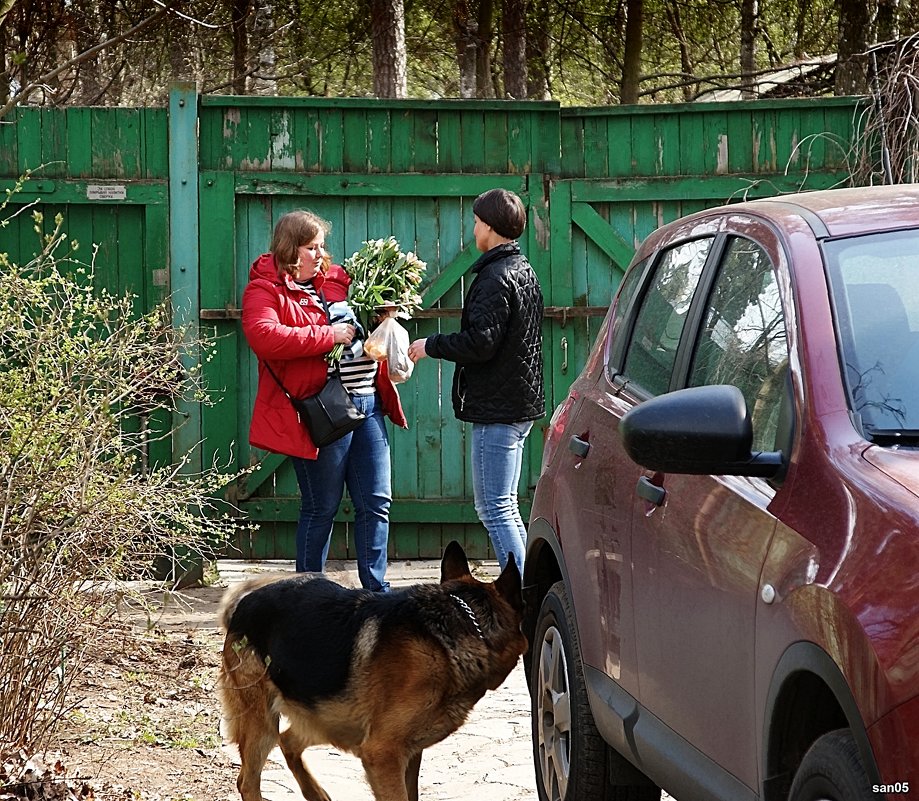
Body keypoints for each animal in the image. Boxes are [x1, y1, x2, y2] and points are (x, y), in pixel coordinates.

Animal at [218, 540, 528, 800]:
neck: (461, 625)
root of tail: (245, 602)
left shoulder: (408, 755)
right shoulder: (382, 754)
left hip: (328, 719)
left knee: (288, 742)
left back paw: (316, 793)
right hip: (263, 723)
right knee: (248, 781)